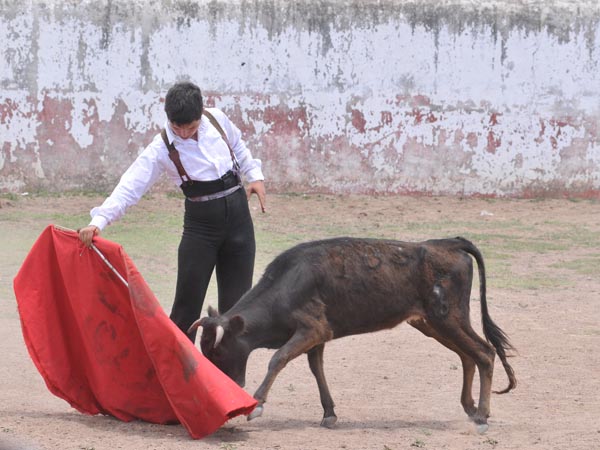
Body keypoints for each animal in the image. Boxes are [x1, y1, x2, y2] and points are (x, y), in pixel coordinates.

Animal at [189, 237, 516, 430]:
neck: (287, 283)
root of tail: (449, 244)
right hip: (432, 323)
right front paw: (329, 413)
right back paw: (471, 407)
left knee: (484, 352)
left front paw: (256, 406)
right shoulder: (318, 336)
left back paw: (482, 414)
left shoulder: (313, 328)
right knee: (468, 355)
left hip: (447, 317)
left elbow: (278, 359)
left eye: (217, 350)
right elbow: (317, 369)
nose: (221, 388)